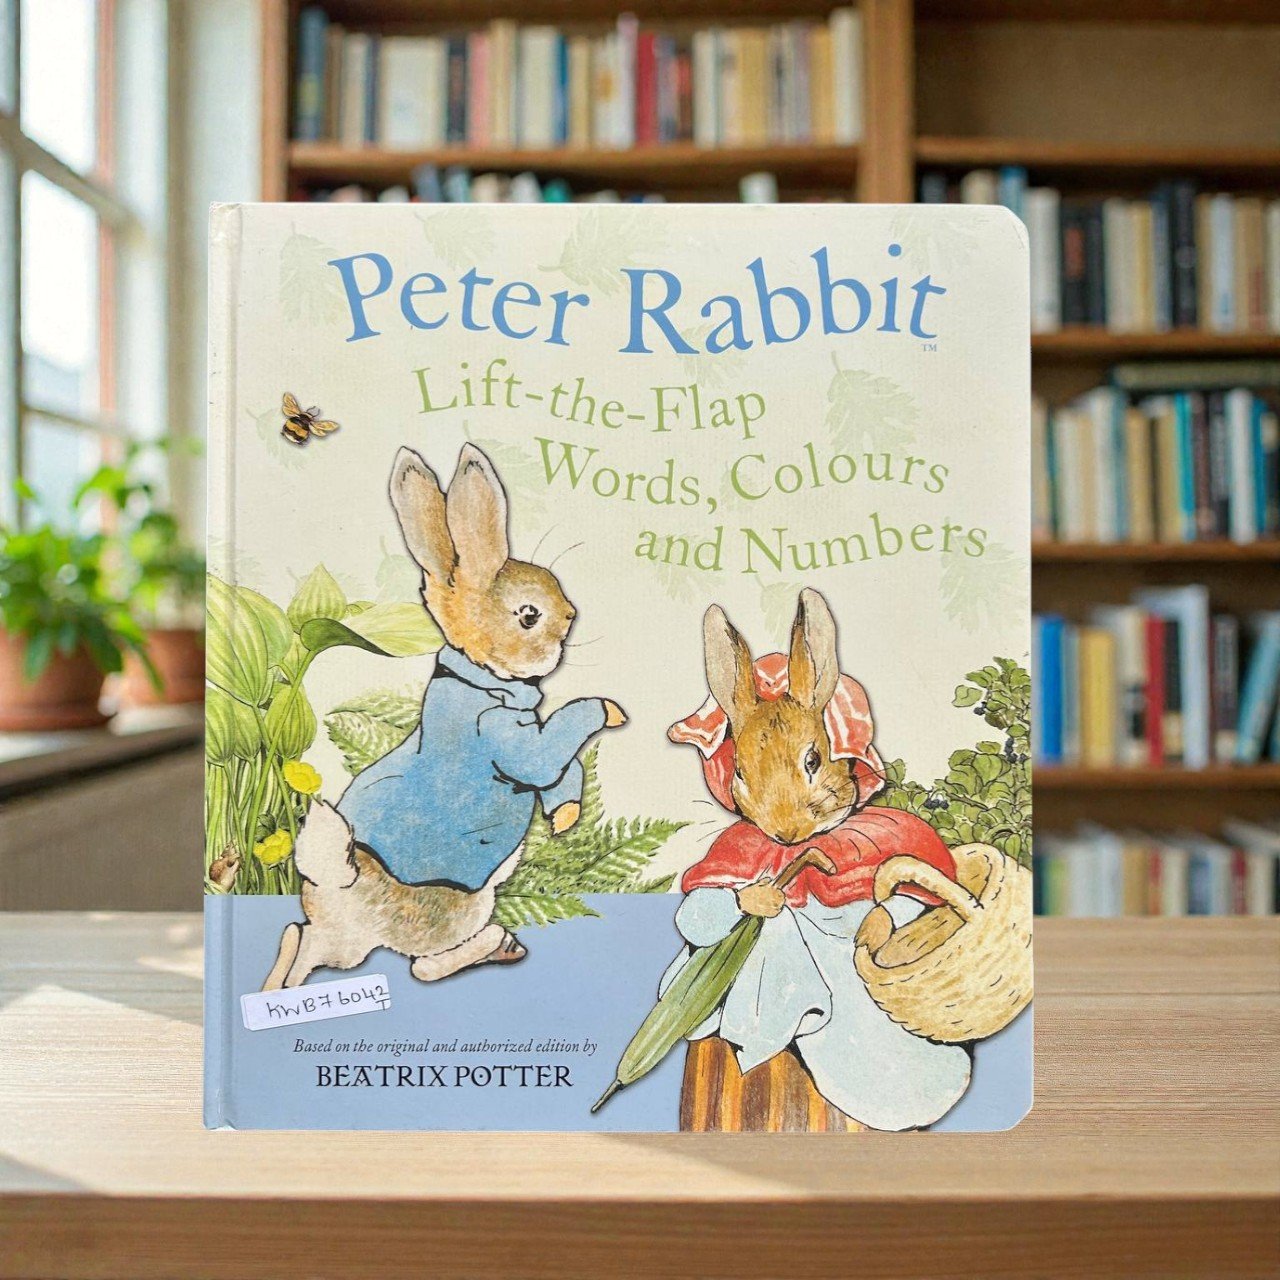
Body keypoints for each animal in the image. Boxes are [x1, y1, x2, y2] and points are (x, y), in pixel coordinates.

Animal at [263, 443, 625, 990]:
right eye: (529, 615)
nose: (570, 617)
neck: (480, 676)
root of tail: (341, 886)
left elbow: (565, 772)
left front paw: (564, 818)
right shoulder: (506, 737)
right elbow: (550, 752)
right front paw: (609, 709)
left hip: (343, 947)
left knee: (299, 940)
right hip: (456, 909)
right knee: (423, 966)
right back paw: (500, 944)